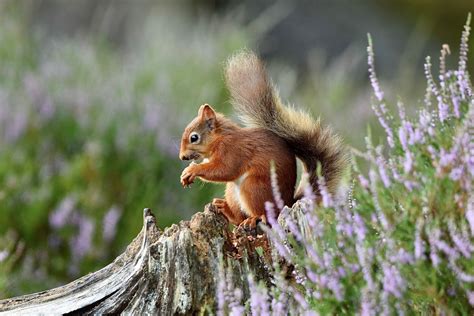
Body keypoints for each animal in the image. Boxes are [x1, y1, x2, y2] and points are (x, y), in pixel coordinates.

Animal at [180, 51, 346, 227]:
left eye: (194, 137)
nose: (182, 157)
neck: (219, 139)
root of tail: (287, 203)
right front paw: (186, 173)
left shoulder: (233, 150)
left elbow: (224, 169)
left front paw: (192, 170)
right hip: (232, 191)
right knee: (238, 218)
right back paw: (225, 209)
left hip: (253, 187)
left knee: (263, 213)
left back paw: (255, 217)